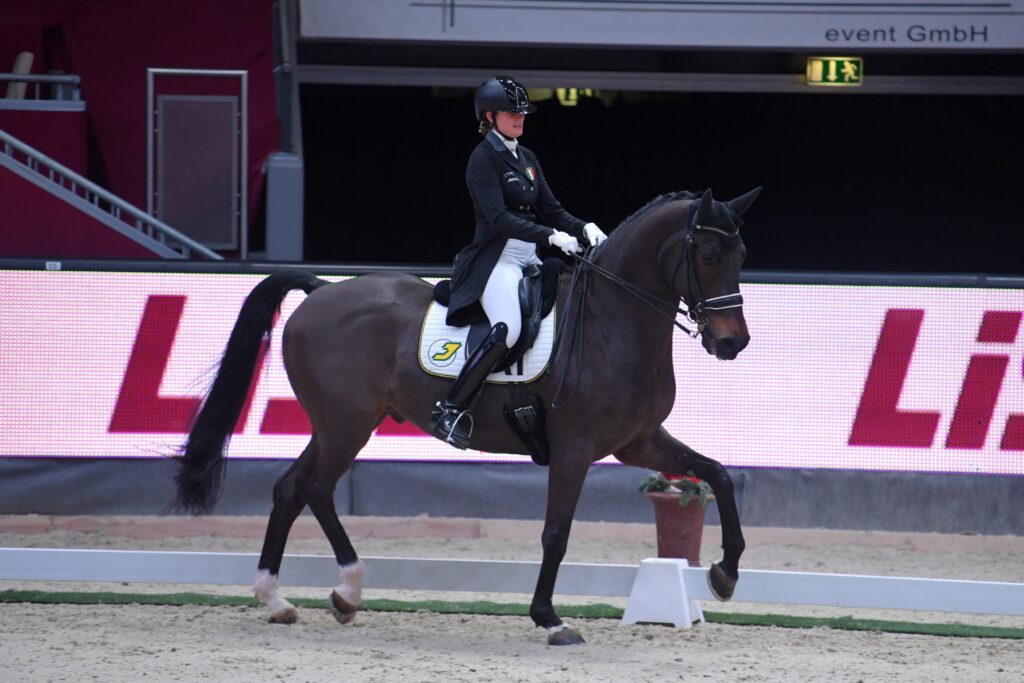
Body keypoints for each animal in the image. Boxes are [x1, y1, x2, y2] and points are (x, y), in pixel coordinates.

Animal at [169, 187, 761, 647]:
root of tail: (321, 291)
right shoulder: (575, 447)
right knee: (312, 486)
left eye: (740, 257)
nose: (732, 344)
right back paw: (328, 591)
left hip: (338, 425)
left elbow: (717, 475)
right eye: (709, 256)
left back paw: (293, 598)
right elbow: (556, 533)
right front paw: (550, 620)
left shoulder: (639, 442)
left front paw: (724, 574)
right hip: (345, 426)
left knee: (293, 488)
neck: (613, 321)